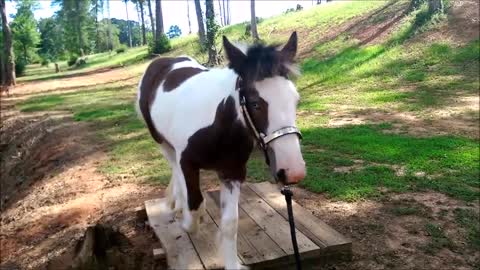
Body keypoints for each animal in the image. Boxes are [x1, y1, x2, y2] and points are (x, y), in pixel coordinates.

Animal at [137, 32, 306, 268]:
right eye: (255, 103)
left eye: (295, 99)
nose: (293, 171)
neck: (219, 125)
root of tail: (160, 61)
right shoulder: (187, 162)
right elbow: (194, 206)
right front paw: (187, 220)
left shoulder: (232, 172)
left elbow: (230, 223)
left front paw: (232, 263)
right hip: (162, 142)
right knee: (175, 169)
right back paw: (179, 204)